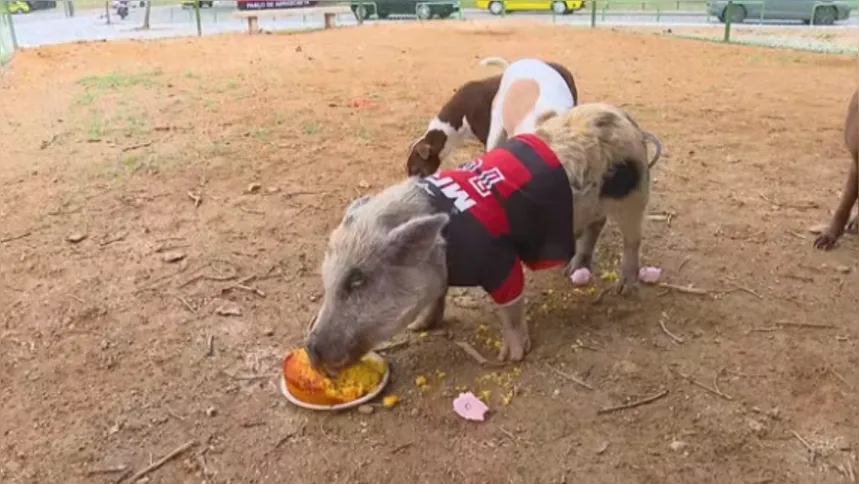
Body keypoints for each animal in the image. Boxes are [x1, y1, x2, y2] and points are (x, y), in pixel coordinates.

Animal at [310, 104, 664, 376]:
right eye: (327, 280)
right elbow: (437, 298)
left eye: (357, 281)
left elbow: (510, 307)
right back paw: (573, 271)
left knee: (633, 240)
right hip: (597, 205)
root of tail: (624, 117)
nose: (311, 349)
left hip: (634, 195)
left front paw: (512, 357)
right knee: (596, 225)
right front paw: (419, 328)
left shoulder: (500, 260)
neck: (445, 247)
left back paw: (624, 289)